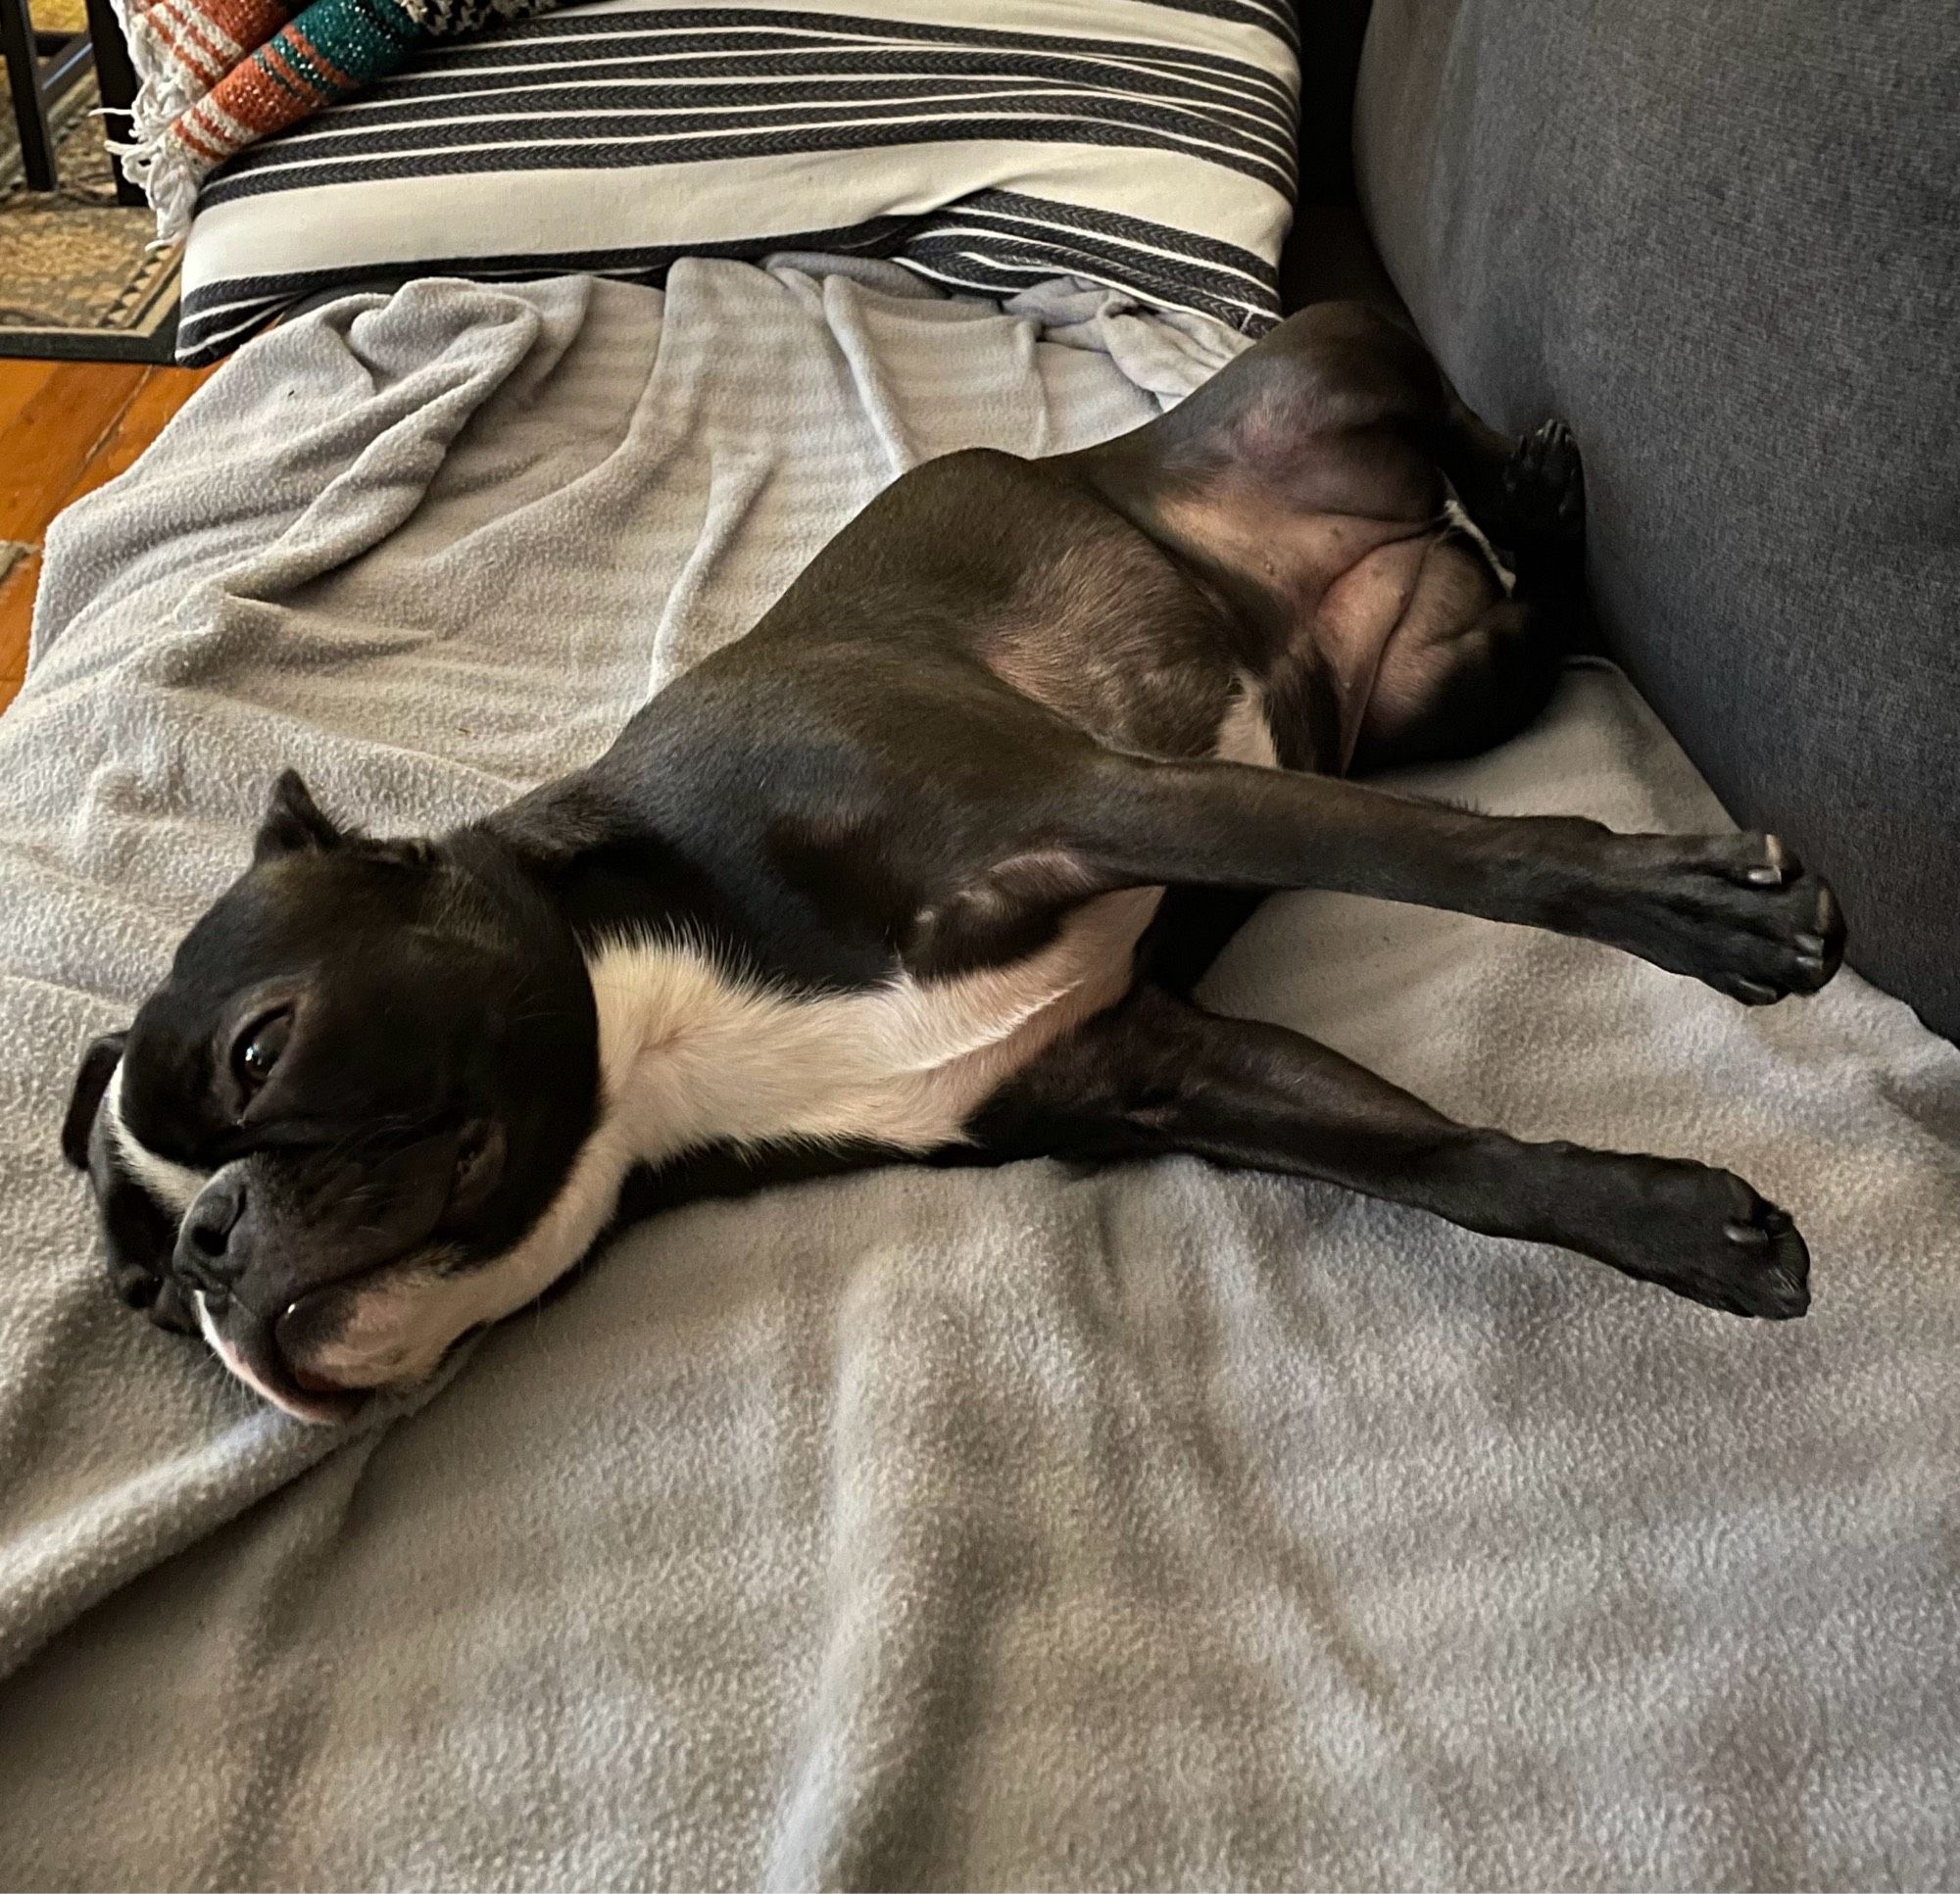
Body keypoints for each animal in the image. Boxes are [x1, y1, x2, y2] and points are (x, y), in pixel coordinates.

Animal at [57, 304, 1835, 1427]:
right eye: (140, 1297)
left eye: (263, 1049)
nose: (208, 1250)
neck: (662, 1016)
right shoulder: (1155, 1066)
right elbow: (1441, 1161)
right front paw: (1680, 1226)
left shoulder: (1105, 798)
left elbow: (1472, 861)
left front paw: (1693, 914)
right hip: (1455, 686)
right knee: (1543, 614)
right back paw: (1527, 527)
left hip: (1329, 384)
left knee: (1440, 420)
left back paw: (1526, 470)